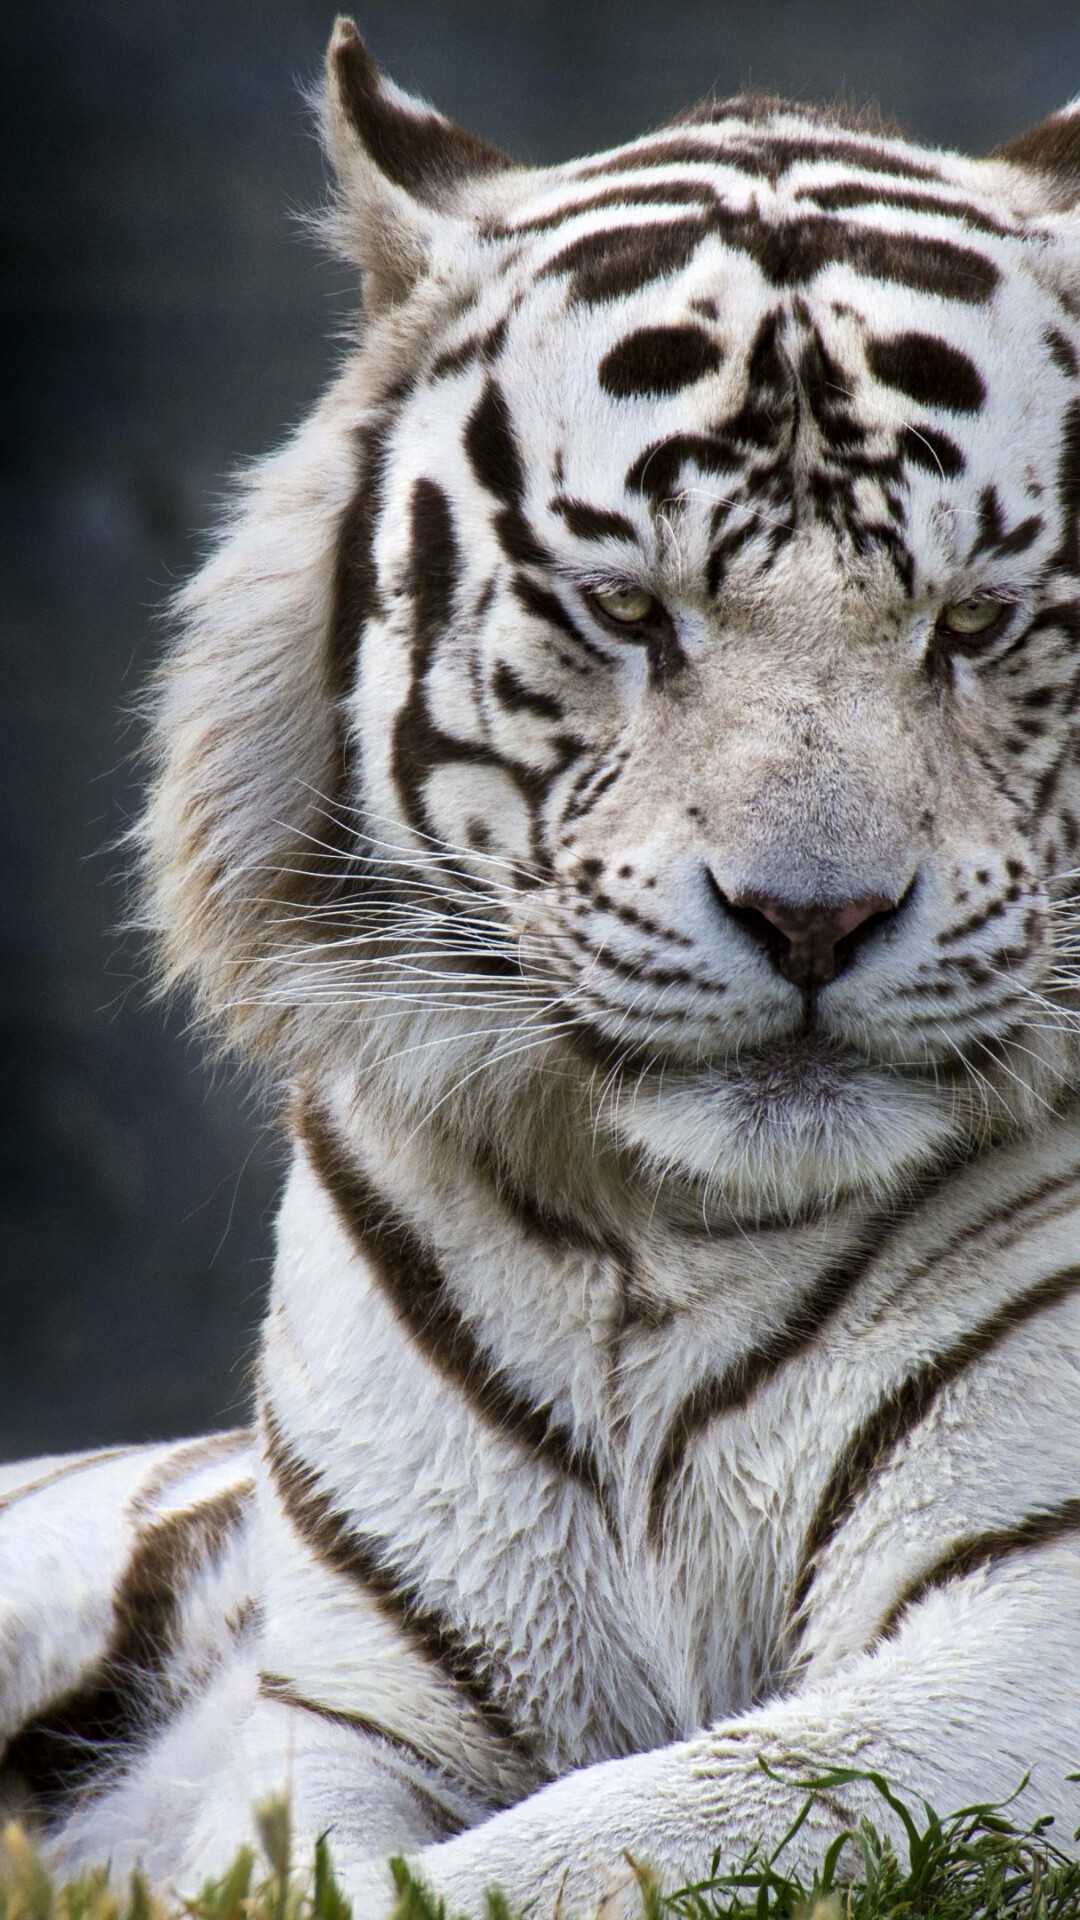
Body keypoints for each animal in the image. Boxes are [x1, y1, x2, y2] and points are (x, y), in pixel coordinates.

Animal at [2, 22, 1076, 1912]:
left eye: (975, 623)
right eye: (630, 610)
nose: (814, 917)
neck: (676, 1242)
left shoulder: (1026, 1641)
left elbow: (633, 1828)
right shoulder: (346, 1711)